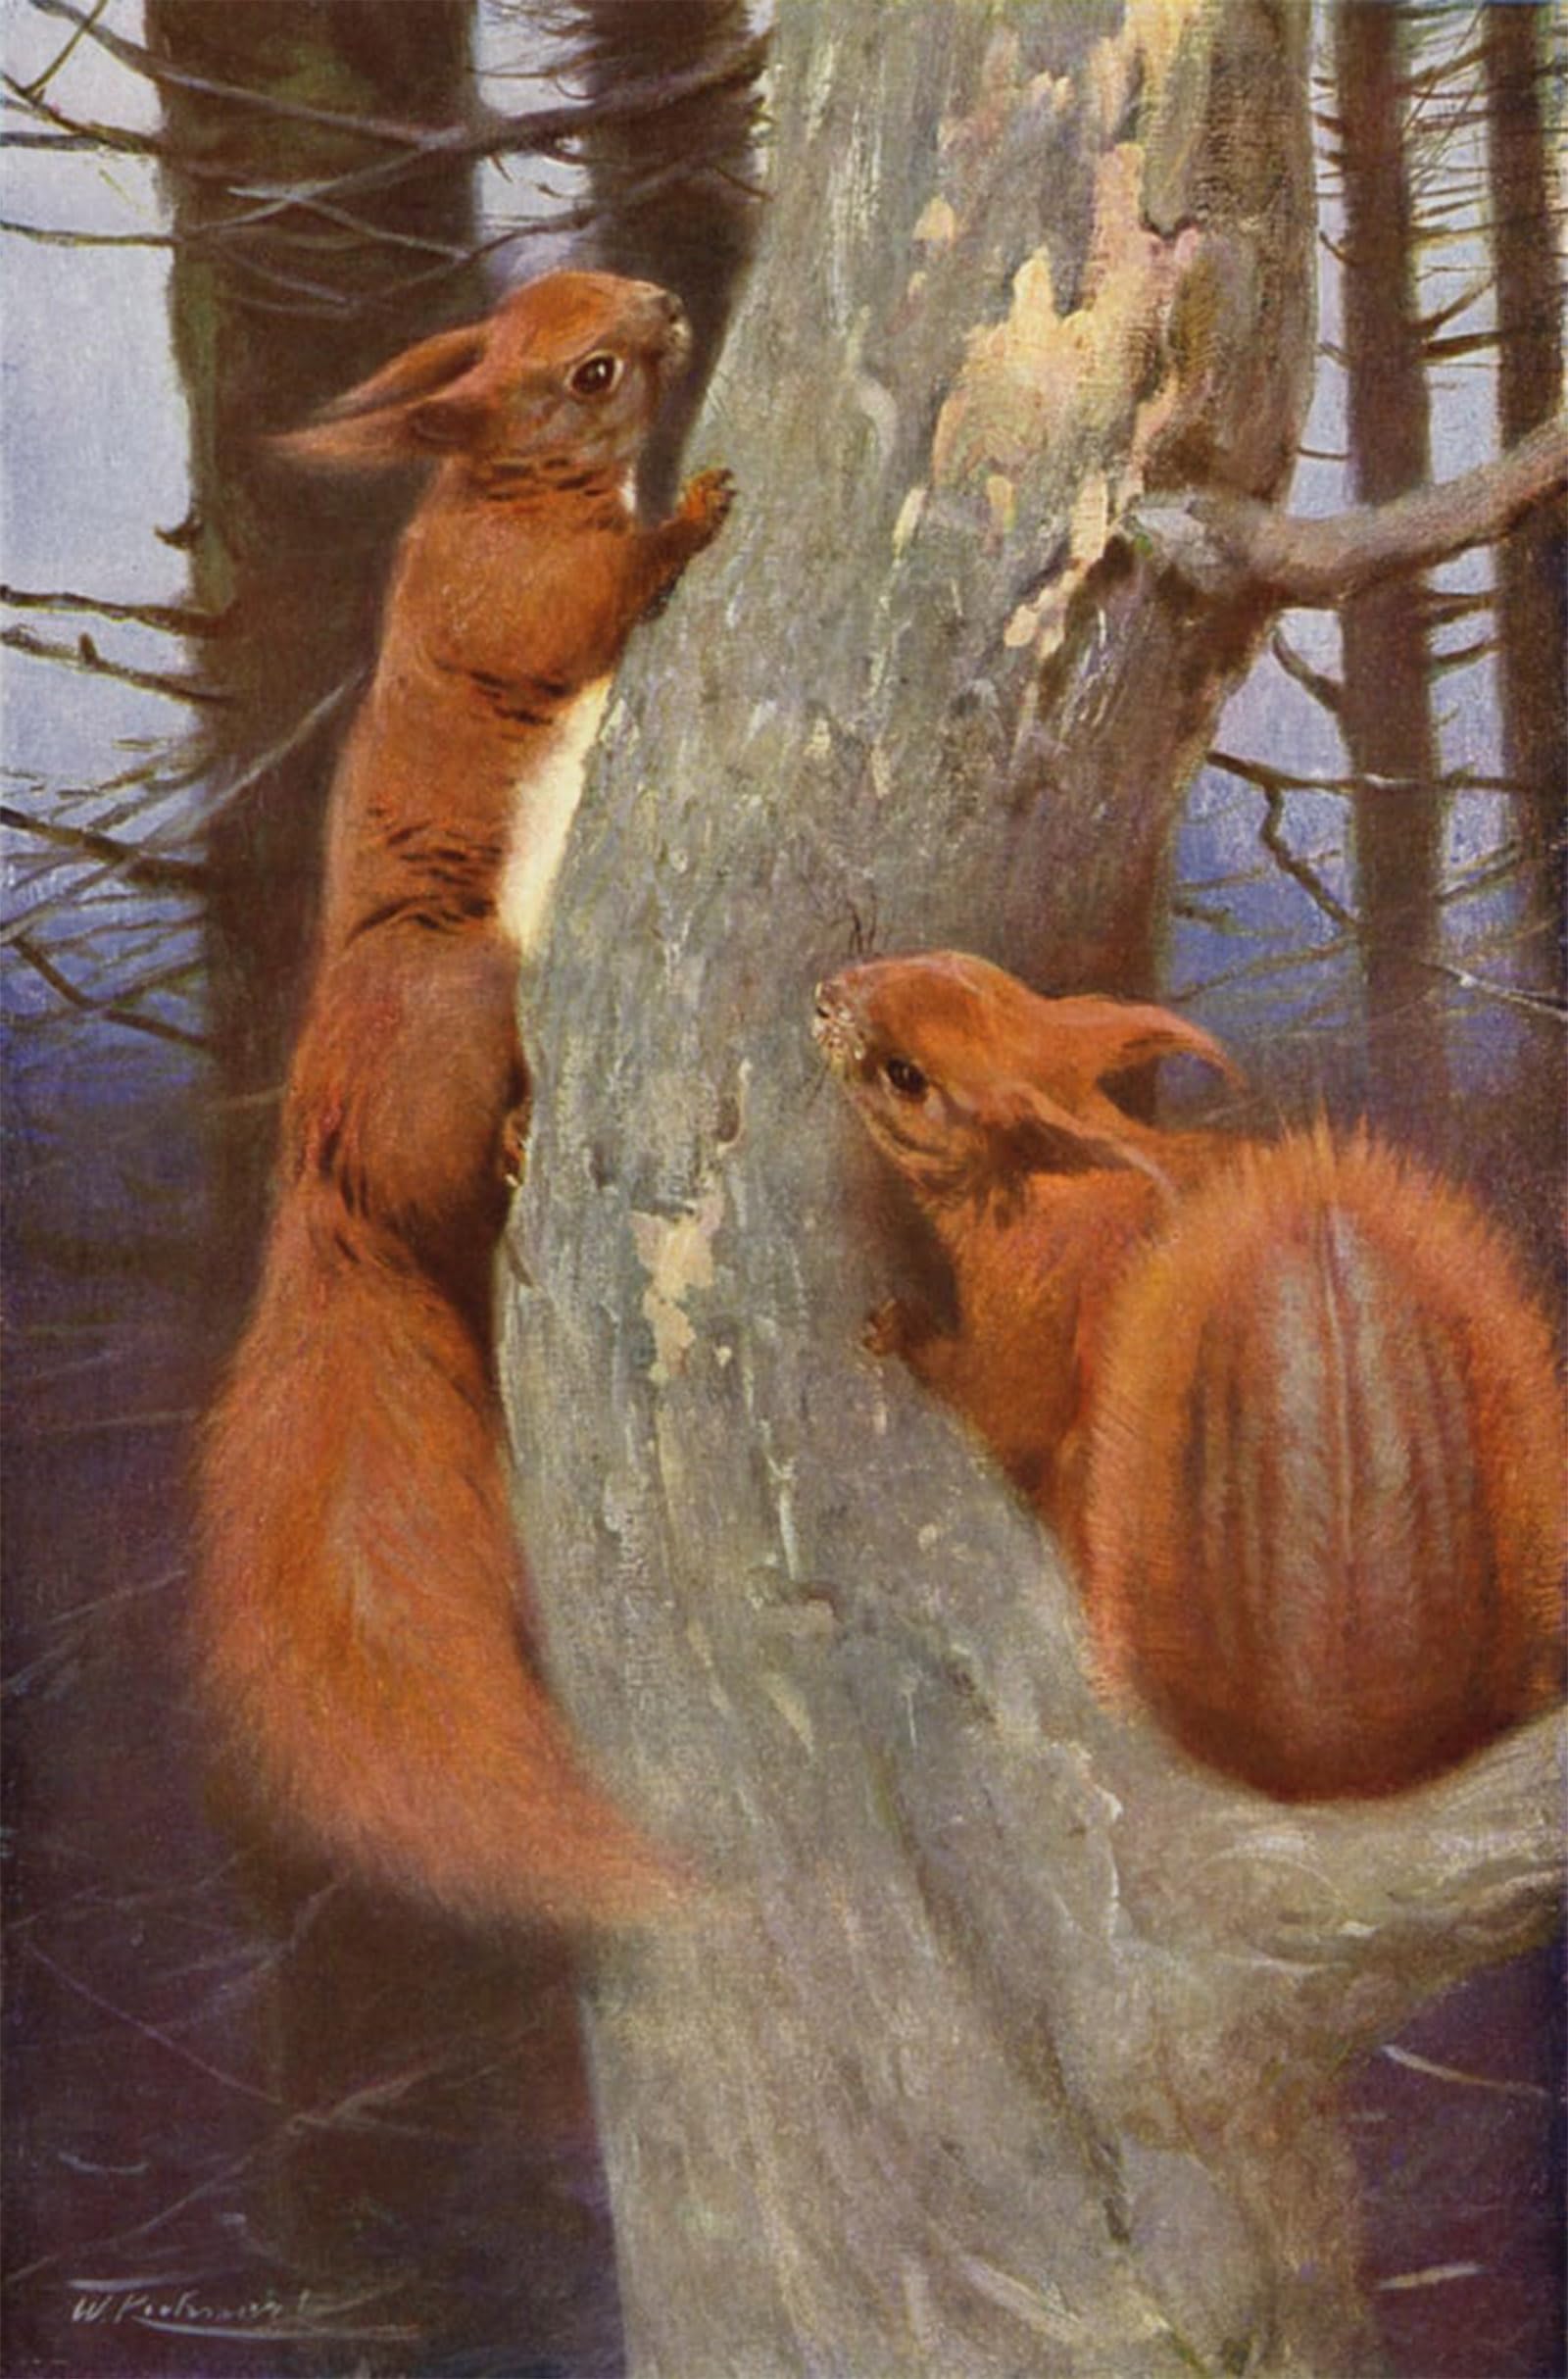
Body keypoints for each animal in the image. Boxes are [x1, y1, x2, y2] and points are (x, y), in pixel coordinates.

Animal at [196, 272, 734, 1929]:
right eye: (593, 368)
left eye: (585, 298)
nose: (667, 301)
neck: (498, 488)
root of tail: (325, 1182)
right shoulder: (514, 599)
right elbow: (589, 602)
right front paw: (691, 514)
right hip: (464, 990)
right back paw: (501, 1144)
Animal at [814, 949, 1565, 1800]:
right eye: (951, 959)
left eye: (906, 1075)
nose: (825, 997)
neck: (1049, 1182)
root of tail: (1339, 1759)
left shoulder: (1027, 1310)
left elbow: (1004, 1405)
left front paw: (900, 1329)